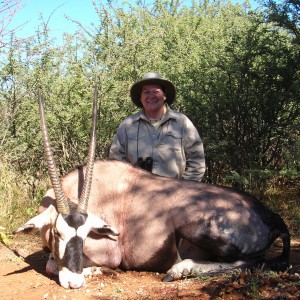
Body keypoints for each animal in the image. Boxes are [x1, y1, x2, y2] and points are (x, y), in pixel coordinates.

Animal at [14, 87, 290, 288]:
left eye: (84, 235)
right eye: (57, 232)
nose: (74, 282)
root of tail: (270, 215)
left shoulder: (109, 252)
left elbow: (53, 264)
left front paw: (98, 271)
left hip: (193, 227)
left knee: (254, 260)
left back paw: (179, 269)